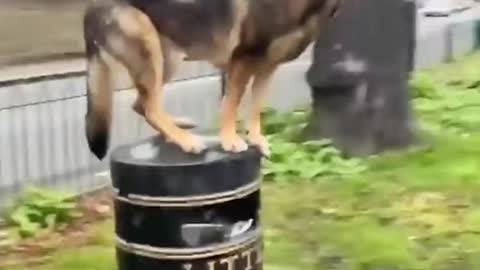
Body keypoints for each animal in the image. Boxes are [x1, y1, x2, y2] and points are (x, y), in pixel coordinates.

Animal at [83, 0, 342, 158]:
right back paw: (185, 140)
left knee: (142, 104)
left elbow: (255, 107)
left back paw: (176, 130)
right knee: (150, 107)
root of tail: (90, 8)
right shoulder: (242, 60)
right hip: (149, 45)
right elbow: (231, 105)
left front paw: (256, 139)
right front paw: (230, 140)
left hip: (167, 57)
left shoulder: (267, 67)